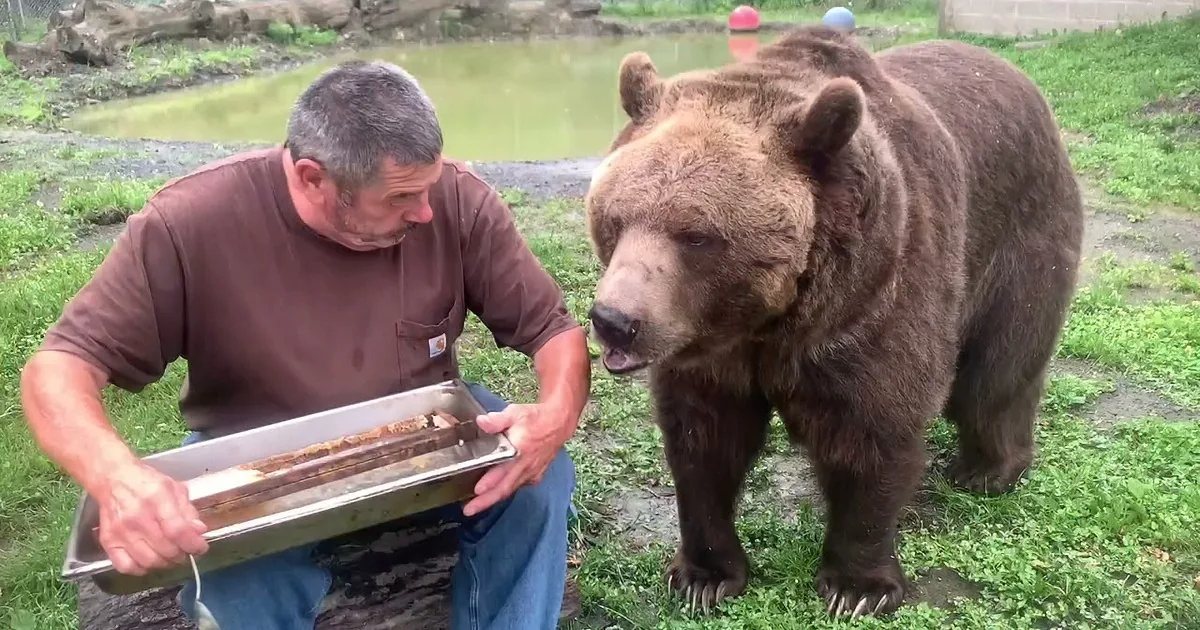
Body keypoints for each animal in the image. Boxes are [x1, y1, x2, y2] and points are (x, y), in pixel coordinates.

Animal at [583, 24, 1084, 620]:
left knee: (997, 372)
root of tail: (1014, 74)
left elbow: (871, 427)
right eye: (614, 218)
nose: (615, 321)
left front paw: (857, 587)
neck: (767, 318)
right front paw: (704, 576)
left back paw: (988, 469)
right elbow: (703, 438)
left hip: (1019, 238)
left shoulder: (874, 297)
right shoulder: (712, 348)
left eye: (697, 235)